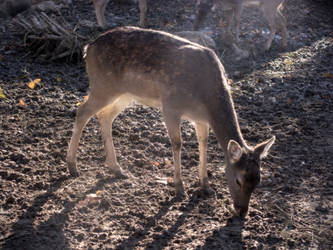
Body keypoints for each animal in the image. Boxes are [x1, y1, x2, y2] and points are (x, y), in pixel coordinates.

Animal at [66, 25, 274, 217]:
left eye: (258, 180)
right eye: (238, 180)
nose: (242, 211)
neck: (204, 95)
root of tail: (88, 48)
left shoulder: (201, 118)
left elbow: (203, 143)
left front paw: (205, 186)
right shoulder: (170, 106)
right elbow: (177, 143)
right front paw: (179, 188)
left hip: (125, 93)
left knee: (105, 116)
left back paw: (116, 168)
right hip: (103, 85)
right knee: (82, 111)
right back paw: (72, 166)